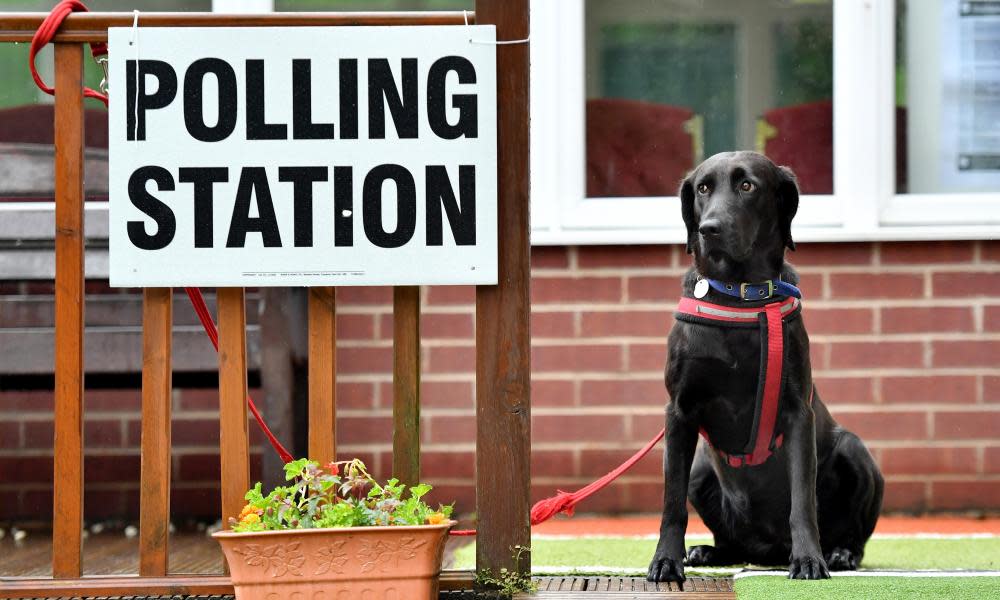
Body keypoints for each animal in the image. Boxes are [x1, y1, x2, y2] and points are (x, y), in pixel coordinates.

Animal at [648, 151, 884, 580]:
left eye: (747, 186)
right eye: (703, 188)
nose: (709, 229)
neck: (739, 295)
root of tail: (767, 550)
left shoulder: (797, 413)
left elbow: (802, 501)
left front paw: (809, 560)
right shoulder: (679, 412)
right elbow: (672, 503)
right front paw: (665, 561)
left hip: (853, 449)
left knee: (854, 535)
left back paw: (839, 553)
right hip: (701, 469)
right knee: (729, 540)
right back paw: (708, 552)